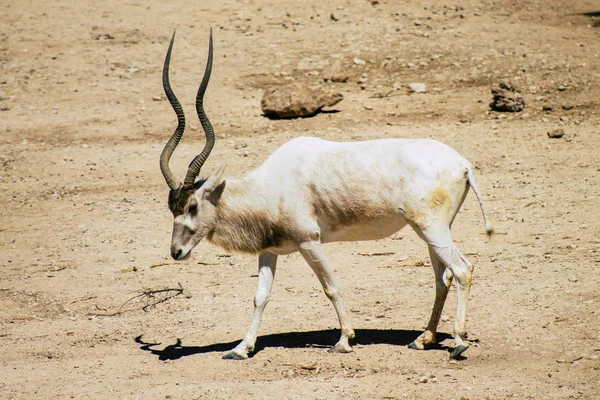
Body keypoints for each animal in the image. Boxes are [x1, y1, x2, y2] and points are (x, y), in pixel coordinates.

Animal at [158, 29, 492, 360]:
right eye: (171, 208)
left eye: (192, 206)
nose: (176, 252)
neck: (269, 186)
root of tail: (462, 164)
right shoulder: (268, 250)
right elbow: (260, 296)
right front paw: (242, 348)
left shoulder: (309, 242)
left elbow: (331, 287)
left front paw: (344, 340)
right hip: (431, 231)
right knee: (442, 276)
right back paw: (423, 339)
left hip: (431, 229)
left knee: (462, 270)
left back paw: (458, 341)